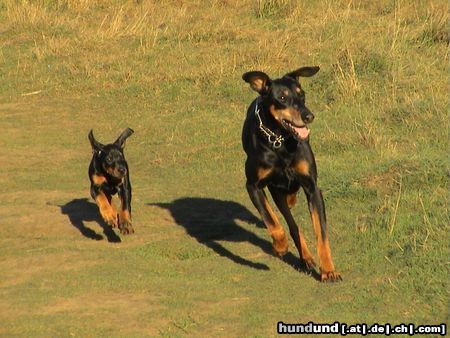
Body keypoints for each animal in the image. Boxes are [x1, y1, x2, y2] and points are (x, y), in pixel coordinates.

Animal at [243, 66, 342, 282]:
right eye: (282, 97)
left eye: (301, 94)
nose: (308, 116)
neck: (280, 140)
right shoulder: (253, 185)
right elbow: (271, 219)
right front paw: (280, 246)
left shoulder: (312, 188)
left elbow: (321, 234)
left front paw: (329, 270)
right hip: (275, 190)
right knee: (290, 223)